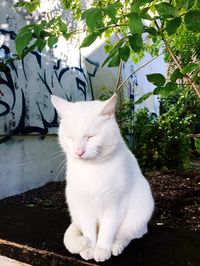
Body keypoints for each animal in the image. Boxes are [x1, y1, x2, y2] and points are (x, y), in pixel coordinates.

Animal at [50, 93, 154, 262]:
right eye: (71, 138)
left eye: (91, 137)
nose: (79, 152)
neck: (92, 170)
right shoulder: (84, 207)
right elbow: (89, 232)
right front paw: (90, 248)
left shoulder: (115, 206)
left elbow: (107, 232)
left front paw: (102, 250)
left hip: (137, 216)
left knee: (125, 235)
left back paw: (116, 247)